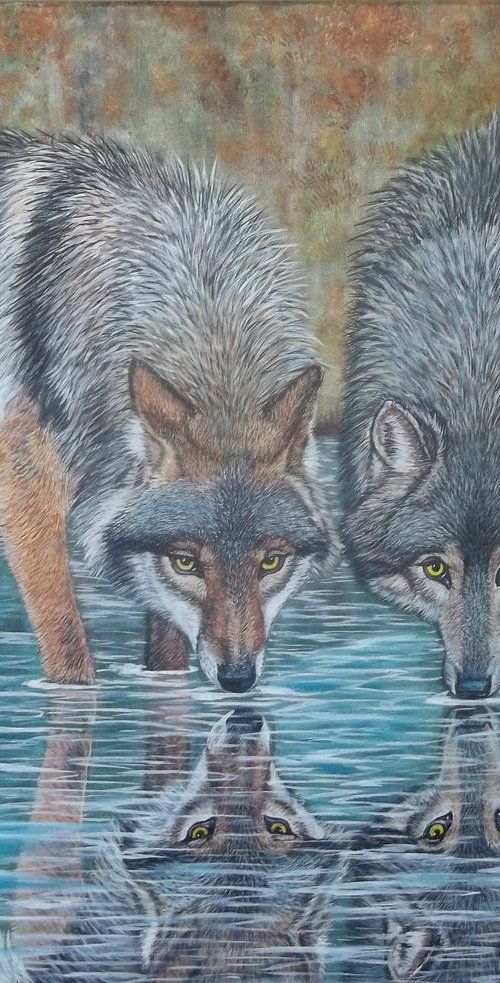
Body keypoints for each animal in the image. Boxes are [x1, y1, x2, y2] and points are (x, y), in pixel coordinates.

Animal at [0, 131, 333, 691]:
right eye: (186, 563)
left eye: (271, 562)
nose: (238, 678)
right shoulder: (27, 494)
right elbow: (68, 650)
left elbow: (168, 654)